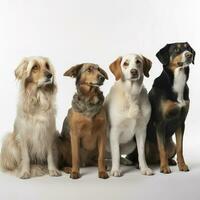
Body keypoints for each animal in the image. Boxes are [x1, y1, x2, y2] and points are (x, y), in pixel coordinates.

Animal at [126, 42, 195, 173]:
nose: (189, 55)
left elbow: (180, 148)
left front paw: (182, 166)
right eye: (177, 49)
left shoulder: (181, 122)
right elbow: (161, 148)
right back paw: (141, 164)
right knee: (139, 156)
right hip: (143, 143)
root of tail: (154, 160)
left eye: (187, 48)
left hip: (171, 145)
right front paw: (164, 168)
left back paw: (170, 161)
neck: (178, 81)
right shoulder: (160, 122)